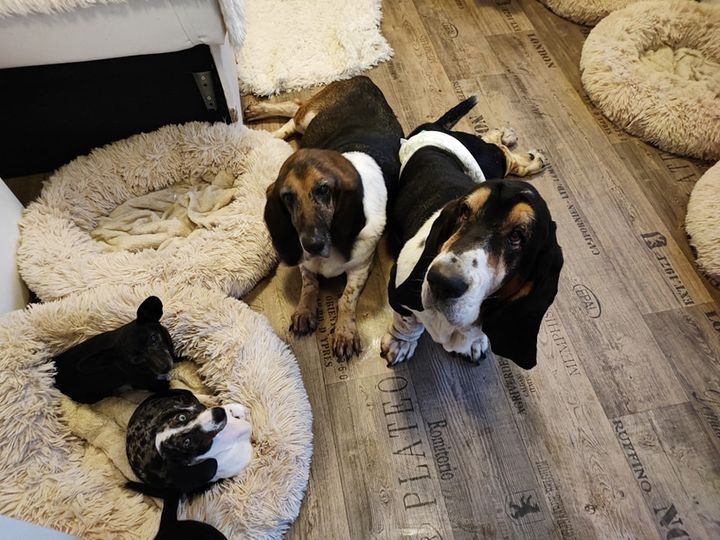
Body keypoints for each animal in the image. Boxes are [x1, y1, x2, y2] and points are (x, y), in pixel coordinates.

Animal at [244, 75, 404, 361]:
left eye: (324, 190)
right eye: (287, 197)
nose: (312, 244)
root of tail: (364, 79)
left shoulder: (360, 267)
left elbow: (346, 299)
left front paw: (345, 333)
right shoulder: (305, 264)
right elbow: (309, 286)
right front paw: (305, 311)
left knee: (295, 107)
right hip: (307, 118)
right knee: (294, 112)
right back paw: (269, 131)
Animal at [381, 97, 563, 369]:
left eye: (518, 236)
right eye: (464, 212)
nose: (442, 282)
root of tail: (433, 127)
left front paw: (475, 343)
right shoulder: (398, 290)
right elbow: (406, 322)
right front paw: (400, 343)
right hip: (489, 160)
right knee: (501, 151)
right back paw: (519, 148)